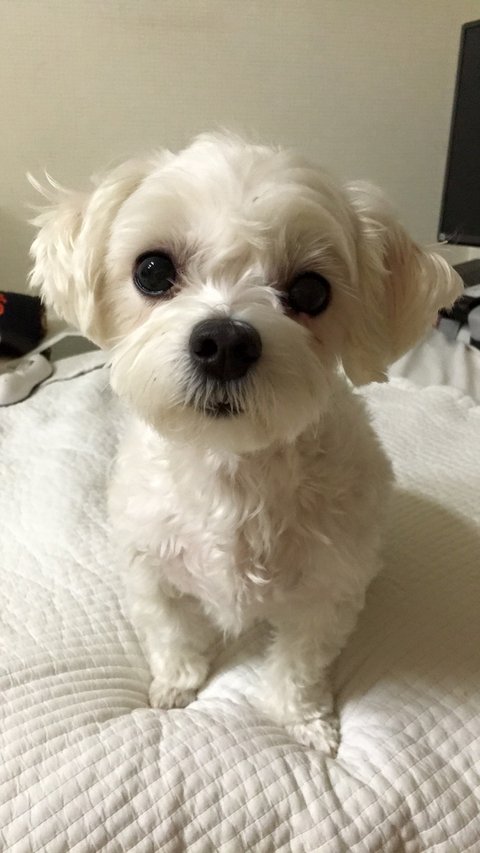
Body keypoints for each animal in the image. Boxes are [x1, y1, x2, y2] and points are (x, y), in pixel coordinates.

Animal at [29, 133, 461, 752]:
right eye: (152, 270)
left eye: (311, 290)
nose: (224, 342)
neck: (231, 468)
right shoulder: (150, 567)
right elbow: (171, 630)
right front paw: (176, 683)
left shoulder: (325, 591)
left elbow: (301, 662)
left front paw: (302, 719)